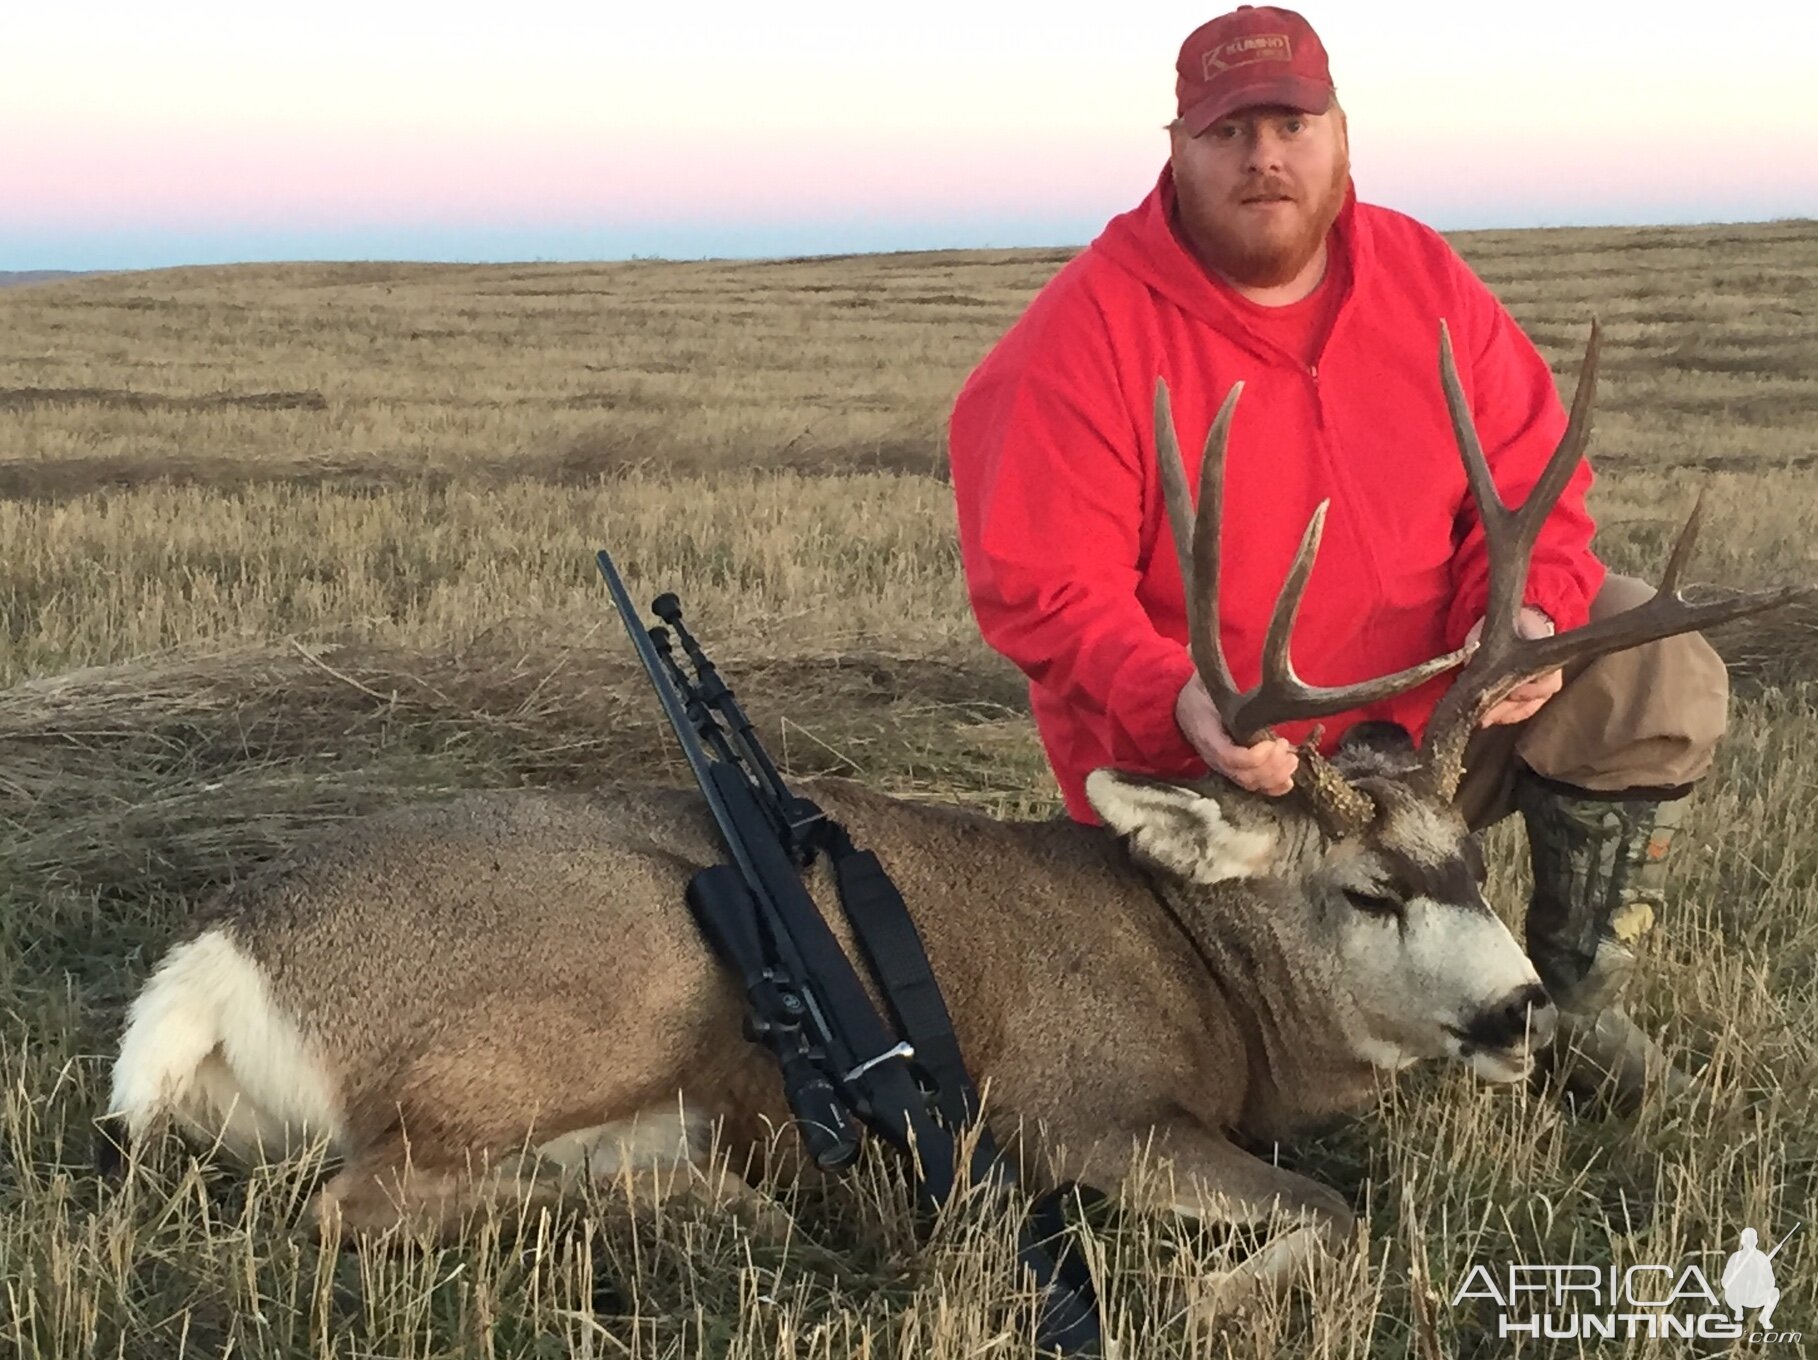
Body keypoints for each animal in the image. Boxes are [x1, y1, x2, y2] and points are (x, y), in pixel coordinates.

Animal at [109, 323, 1803, 1309]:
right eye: (1366, 889)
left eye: (1468, 864)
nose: (1521, 1010)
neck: (1203, 976)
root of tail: (210, 970)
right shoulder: (1076, 1107)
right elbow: (1329, 1209)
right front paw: (1194, 1300)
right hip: (605, 989)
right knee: (357, 1197)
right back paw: (728, 1209)